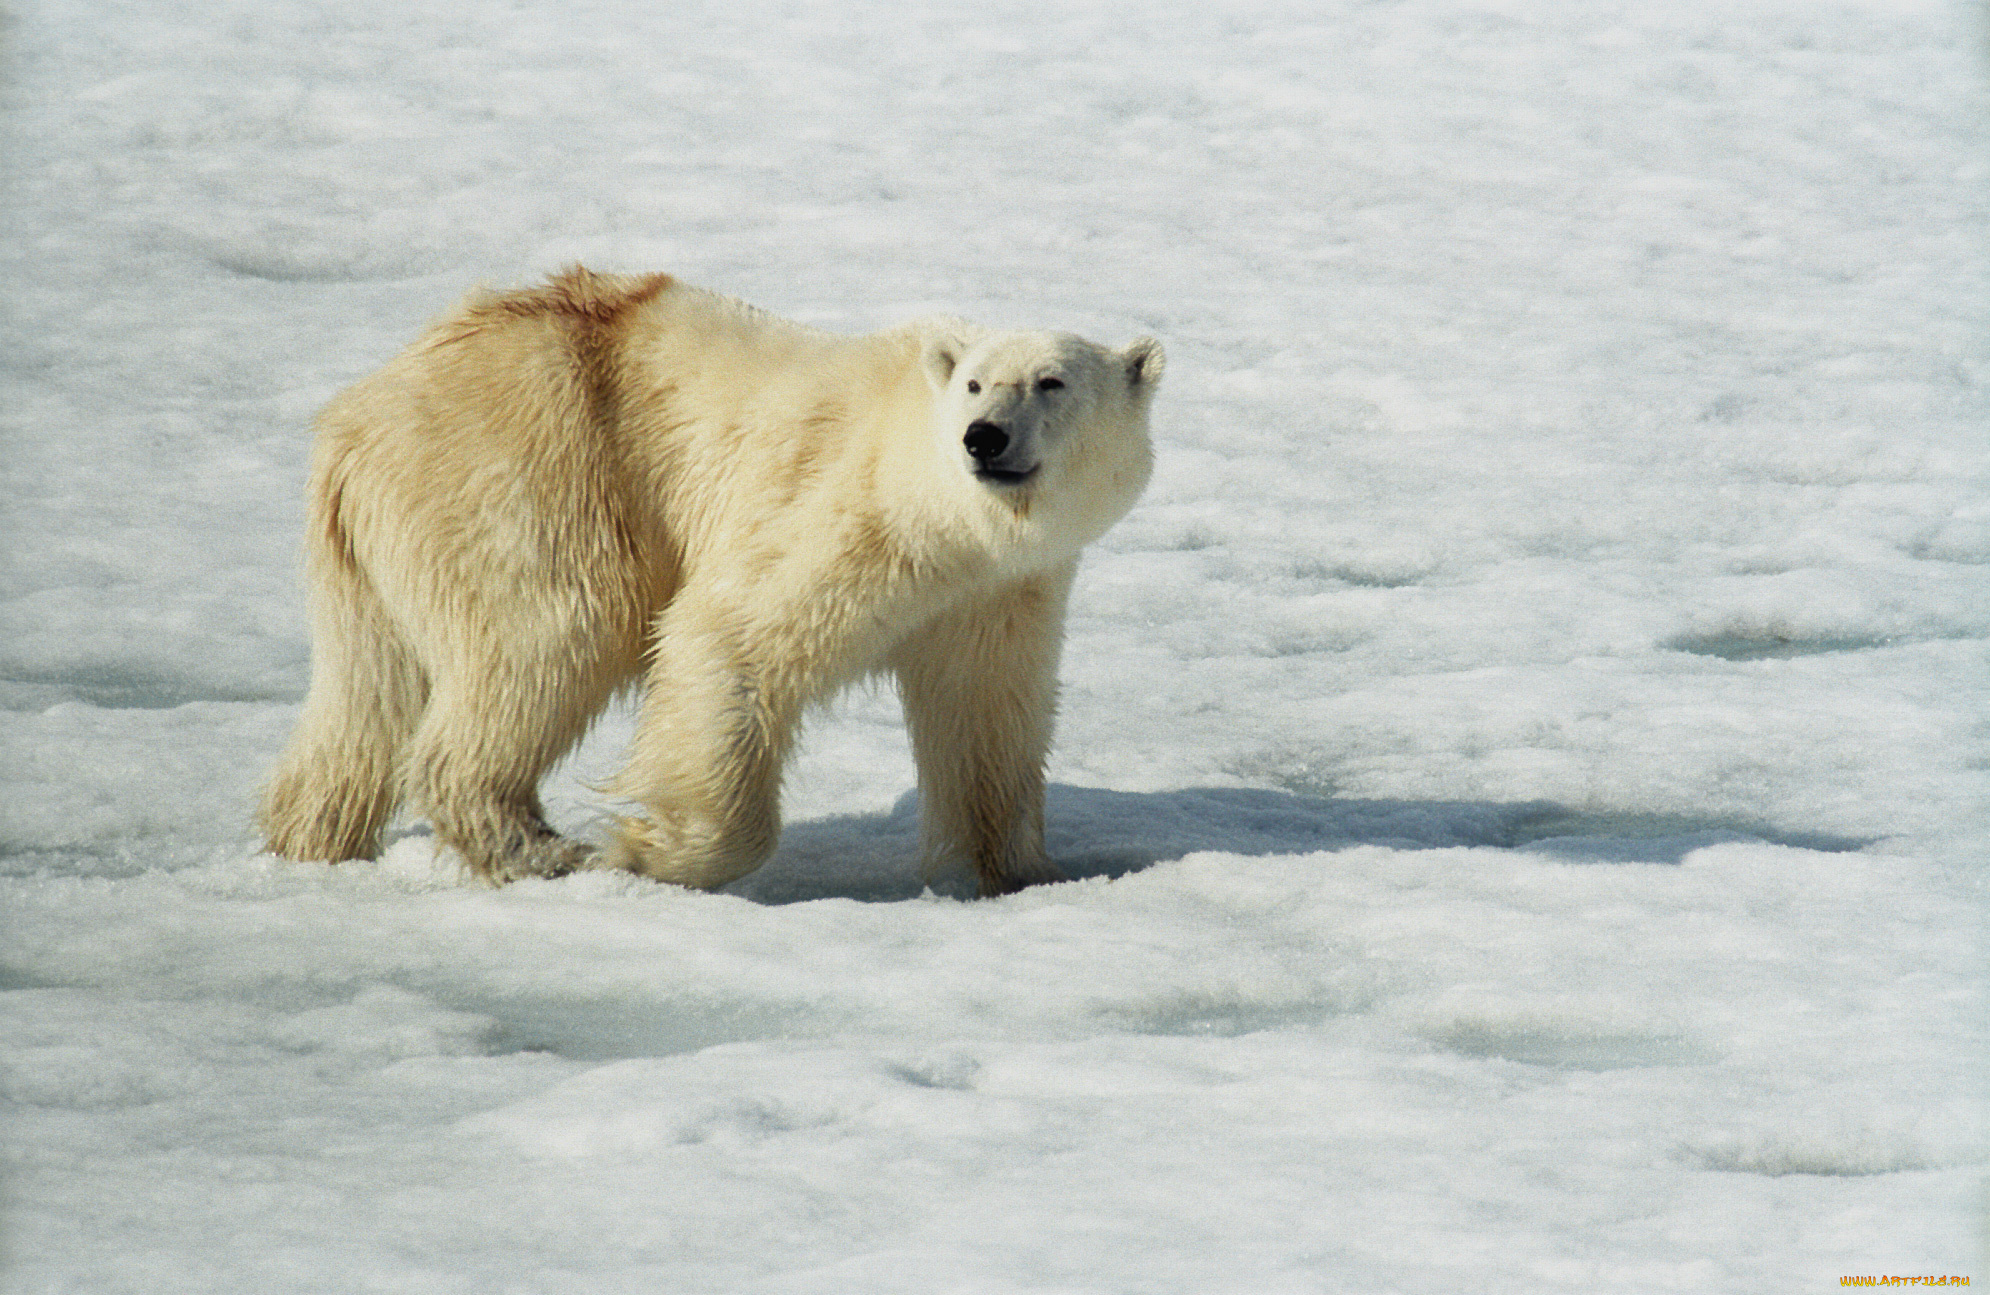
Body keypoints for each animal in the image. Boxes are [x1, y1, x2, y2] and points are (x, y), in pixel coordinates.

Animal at [264, 270, 1162, 903]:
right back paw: (542, 848)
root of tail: (352, 422)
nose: (984, 438)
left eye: (1052, 382)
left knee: (364, 701)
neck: (949, 518)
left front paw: (1031, 873)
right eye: (975, 383)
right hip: (526, 470)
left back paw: (309, 839)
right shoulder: (848, 518)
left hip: (377, 555)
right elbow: (728, 636)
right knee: (556, 629)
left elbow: (989, 717)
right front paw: (648, 849)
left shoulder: (998, 594)